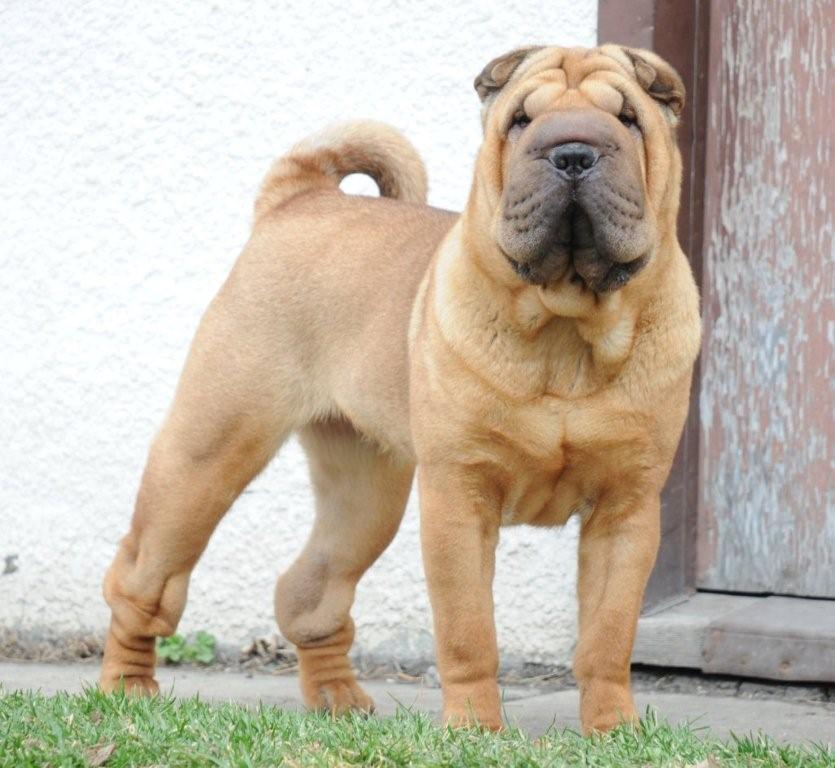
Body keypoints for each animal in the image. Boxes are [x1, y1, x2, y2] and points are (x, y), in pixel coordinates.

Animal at [104, 46, 704, 732]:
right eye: (521, 121)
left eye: (628, 120)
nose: (573, 152)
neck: (566, 328)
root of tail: (300, 199)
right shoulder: (457, 496)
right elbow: (469, 631)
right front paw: (475, 730)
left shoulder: (625, 508)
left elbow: (608, 635)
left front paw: (612, 729)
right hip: (209, 452)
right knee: (142, 580)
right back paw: (125, 689)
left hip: (366, 493)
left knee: (311, 590)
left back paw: (337, 701)